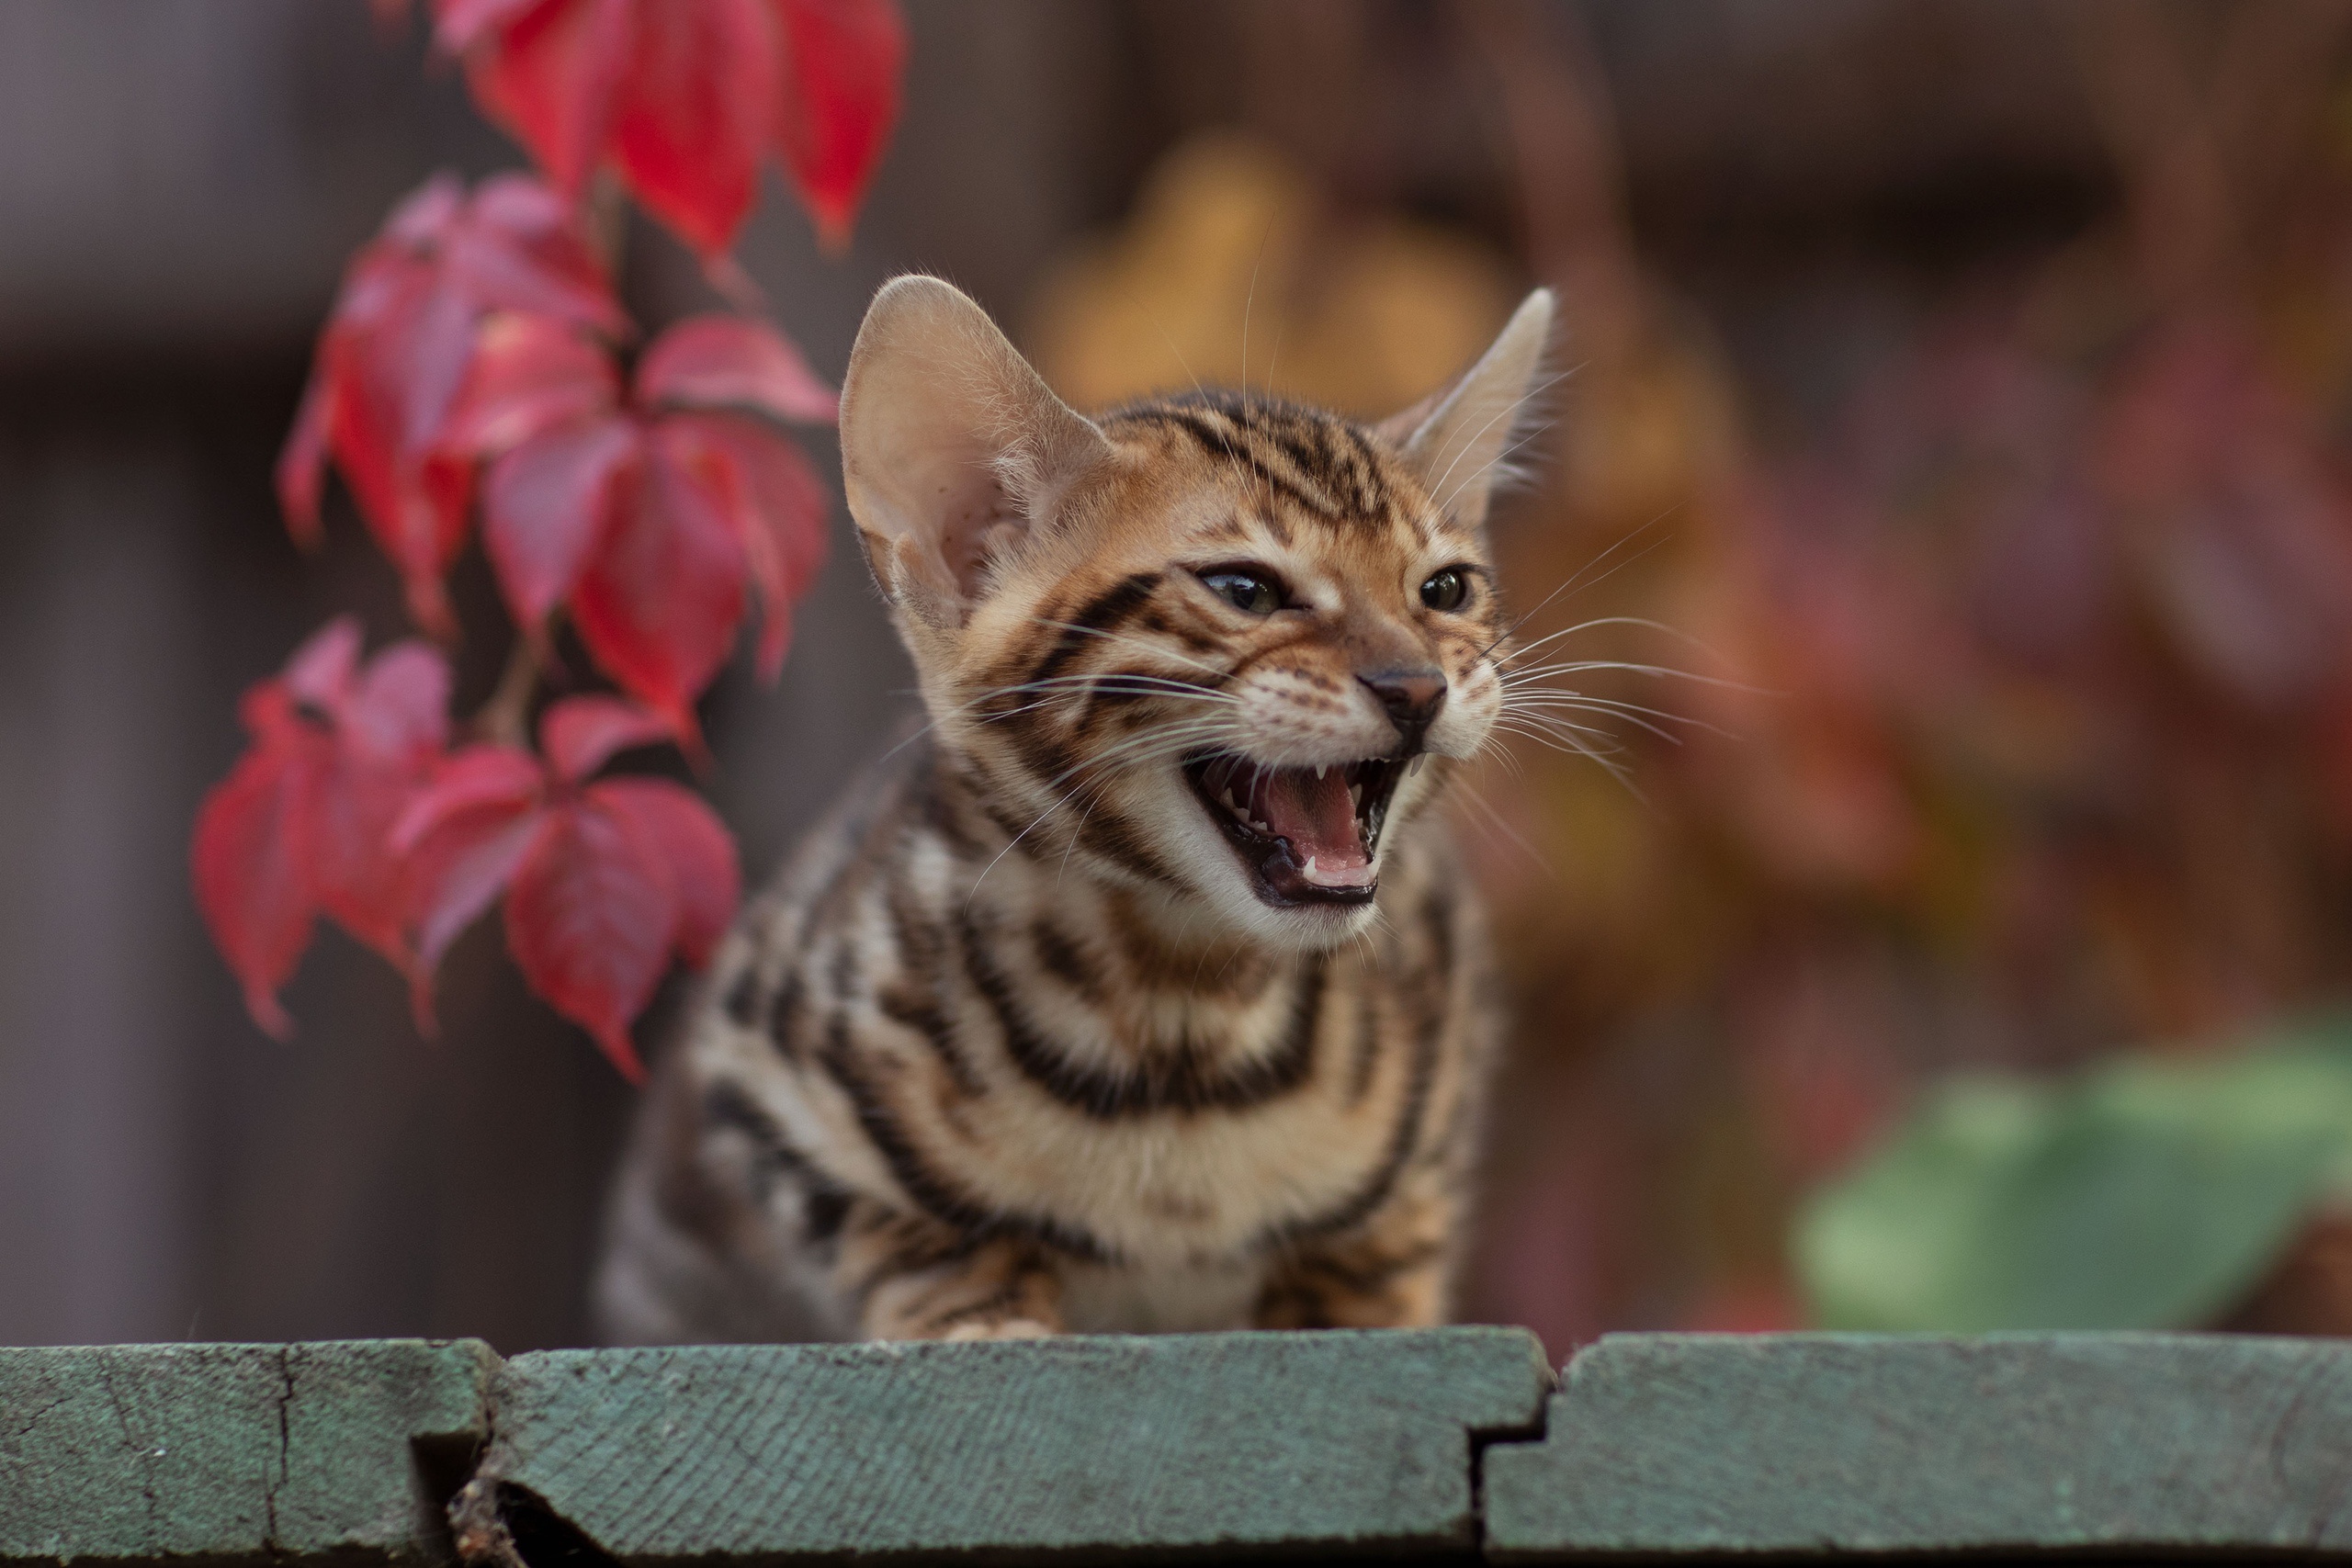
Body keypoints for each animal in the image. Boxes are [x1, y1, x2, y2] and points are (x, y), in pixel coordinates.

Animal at [597, 278, 1552, 1335]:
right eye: (1246, 588)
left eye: (1446, 589)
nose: (1418, 684)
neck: (1184, 1026)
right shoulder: (761, 1083)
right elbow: (907, 1224)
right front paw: (976, 1310)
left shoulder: (1436, 1109)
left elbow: (1379, 1254)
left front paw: (1349, 1313)